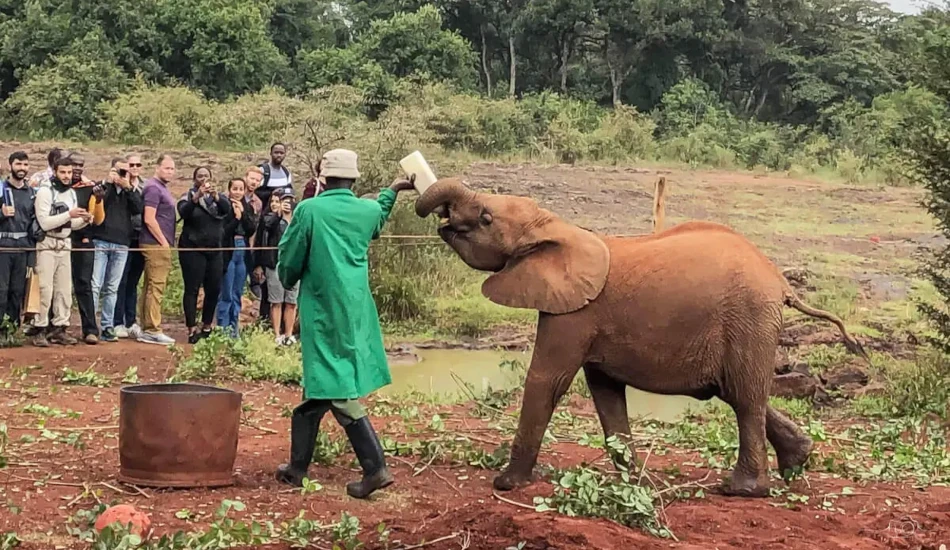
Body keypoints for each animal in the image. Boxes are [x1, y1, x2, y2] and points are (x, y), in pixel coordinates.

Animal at [414, 177, 867, 497]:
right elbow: (605, 393)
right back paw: (797, 463)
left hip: (749, 318)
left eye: (486, 219)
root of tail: (781, 281)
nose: (436, 211)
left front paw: (507, 484)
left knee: (744, 397)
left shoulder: (574, 313)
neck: (556, 225)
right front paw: (632, 484)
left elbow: (547, 380)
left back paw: (741, 490)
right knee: (735, 391)